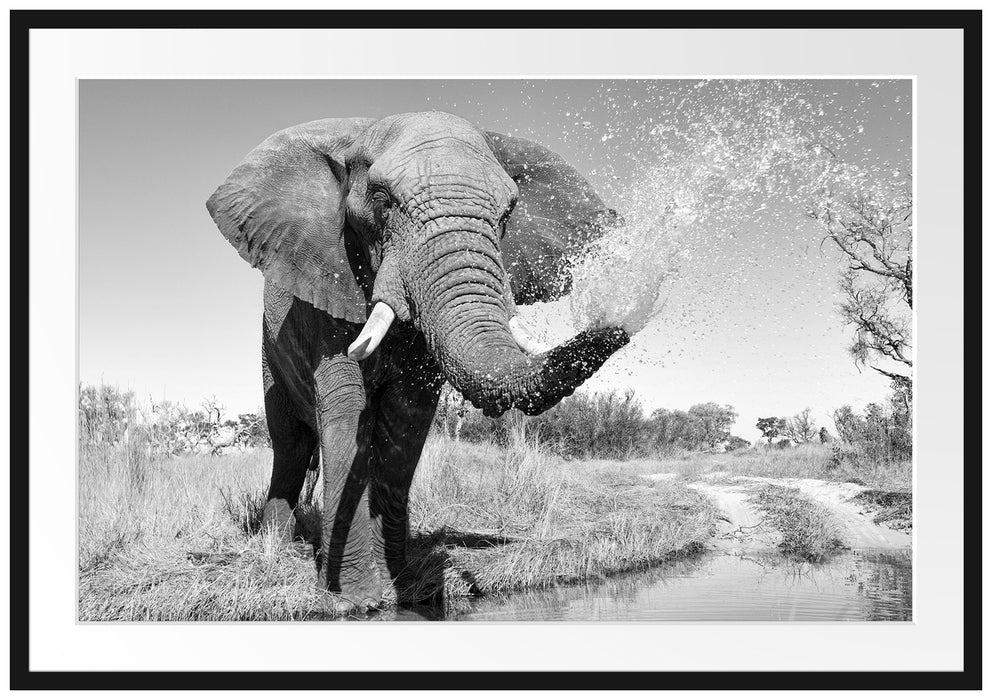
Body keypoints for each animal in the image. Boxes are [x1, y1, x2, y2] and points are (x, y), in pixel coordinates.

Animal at [206, 111, 630, 612]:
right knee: (289, 442)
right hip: (269, 349)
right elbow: (346, 409)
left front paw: (403, 587)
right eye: (381, 201)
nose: (624, 316)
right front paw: (356, 599)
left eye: (508, 214)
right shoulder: (327, 283)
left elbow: (406, 418)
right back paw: (277, 542)